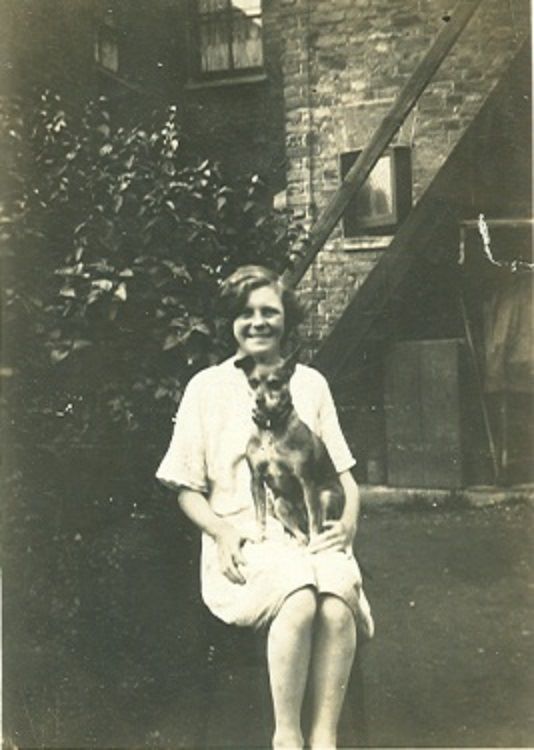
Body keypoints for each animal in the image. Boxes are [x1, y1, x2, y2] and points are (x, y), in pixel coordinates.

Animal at [236, 356, 346, 544]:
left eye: (274, 383)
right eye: (253, 382)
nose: (259, 400)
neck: (270, 428)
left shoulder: (306, 480)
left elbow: (314, 516)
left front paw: (315, 540)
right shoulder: (256, 480)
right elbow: (260, 515)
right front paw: (259, 536)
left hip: (325, 496)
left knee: (319, 525)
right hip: (279, 504)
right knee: (299, 531)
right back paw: (299, 540)